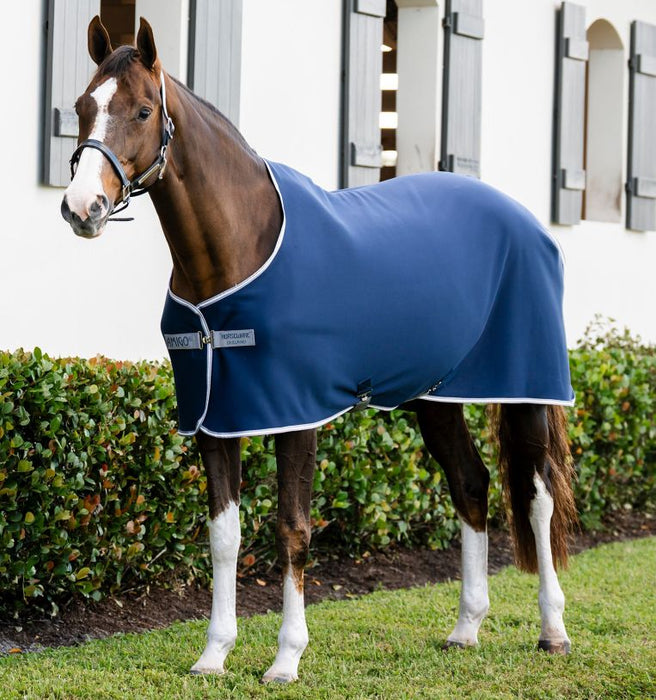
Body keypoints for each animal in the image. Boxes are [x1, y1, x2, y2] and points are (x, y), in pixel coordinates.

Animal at [61, 16, 577, 684]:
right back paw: (465, 628)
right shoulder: (215, 417)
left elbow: (293, 530)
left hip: (527, 388)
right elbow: (224, 536)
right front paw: (214, 653)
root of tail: (527, 221)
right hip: (437, 398)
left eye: (144, 110)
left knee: (538, 497)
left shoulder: (295, 414)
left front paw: (286, 658)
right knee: (471, 484)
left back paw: (553, 630)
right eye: (82, 106)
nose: (82, 208)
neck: (239, 248)